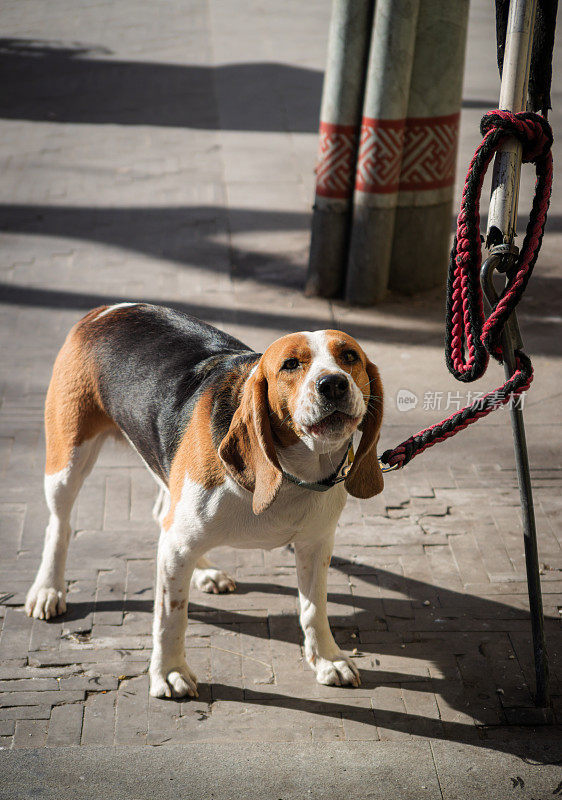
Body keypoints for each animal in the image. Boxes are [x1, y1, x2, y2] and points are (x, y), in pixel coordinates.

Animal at [25, 304, 380, 696]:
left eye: (350, 357)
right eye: (290, 364)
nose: (333, 383)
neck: (293, 472)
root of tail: (105, 310)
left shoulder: (316, 545)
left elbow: (315, 608)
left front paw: (327, 660)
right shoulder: (176, 547)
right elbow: (172, 615)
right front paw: (169, 672)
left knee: (161, 513)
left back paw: (206, 570)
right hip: (68, 461)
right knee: (60, 526)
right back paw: (48, 589)